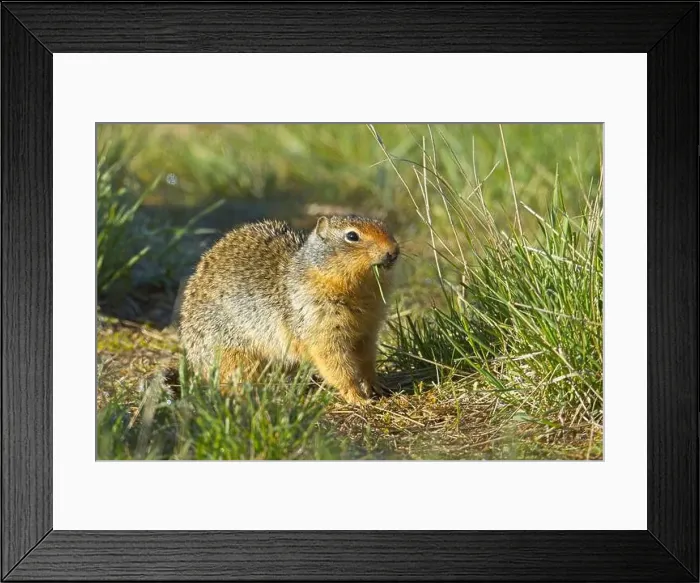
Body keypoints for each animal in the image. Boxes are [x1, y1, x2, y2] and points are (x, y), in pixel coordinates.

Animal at [177, 214, 400, 404]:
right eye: (352, 236)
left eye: (385, 226)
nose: (394, 251)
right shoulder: (321, 329)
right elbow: (336, 365)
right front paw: (357, 397)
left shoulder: (368, 330)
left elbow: (367, 360)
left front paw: (376, 385)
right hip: (233, 355)